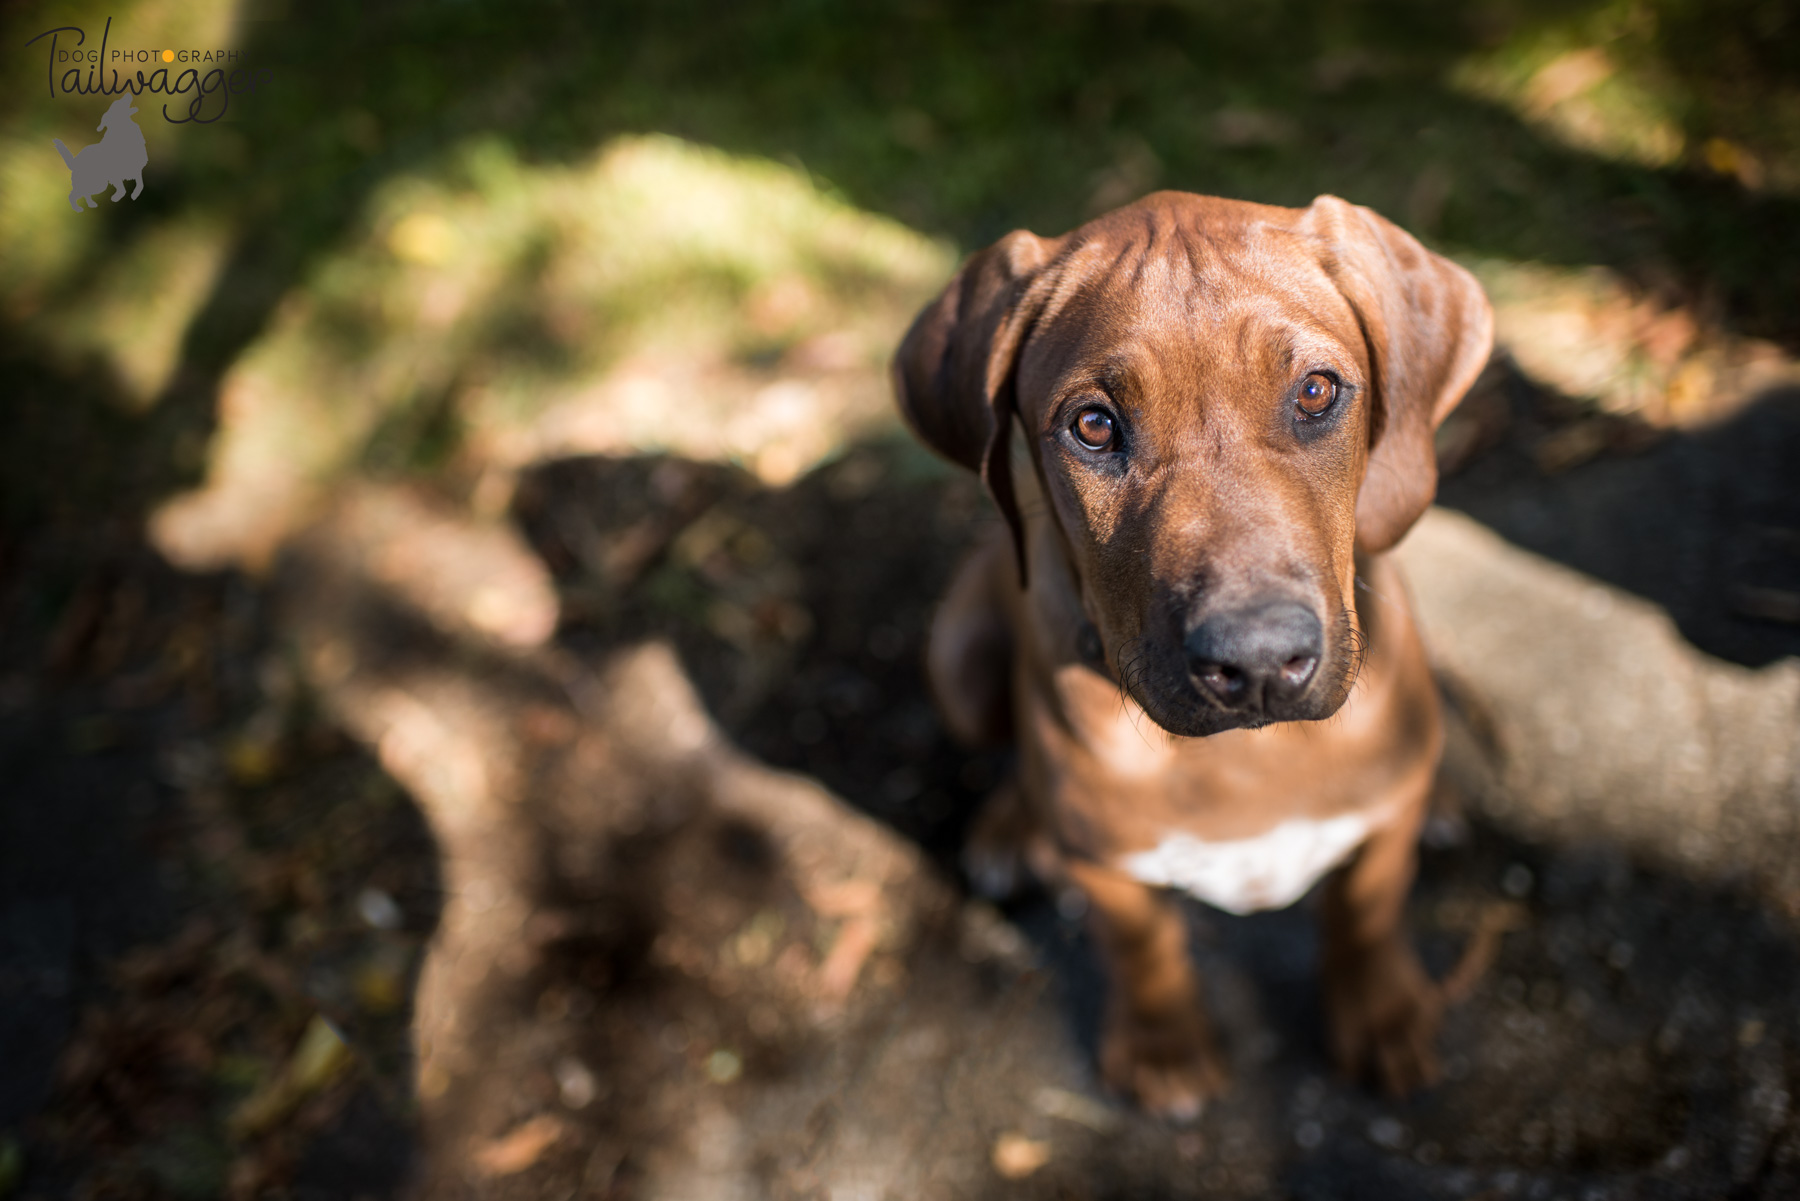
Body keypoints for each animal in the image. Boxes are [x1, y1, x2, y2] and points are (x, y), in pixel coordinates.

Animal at [892, 192, 1497, 1123]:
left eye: (1316, 391)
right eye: (1093, 425)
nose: (1258, 663)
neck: (1245, 760)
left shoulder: (1378, 831)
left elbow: (1366, 911)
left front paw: (1384, 1014)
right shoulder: (1110, 864)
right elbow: (1143, 944)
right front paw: (1162, 1045)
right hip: (957, 655)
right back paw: (1012, 827)